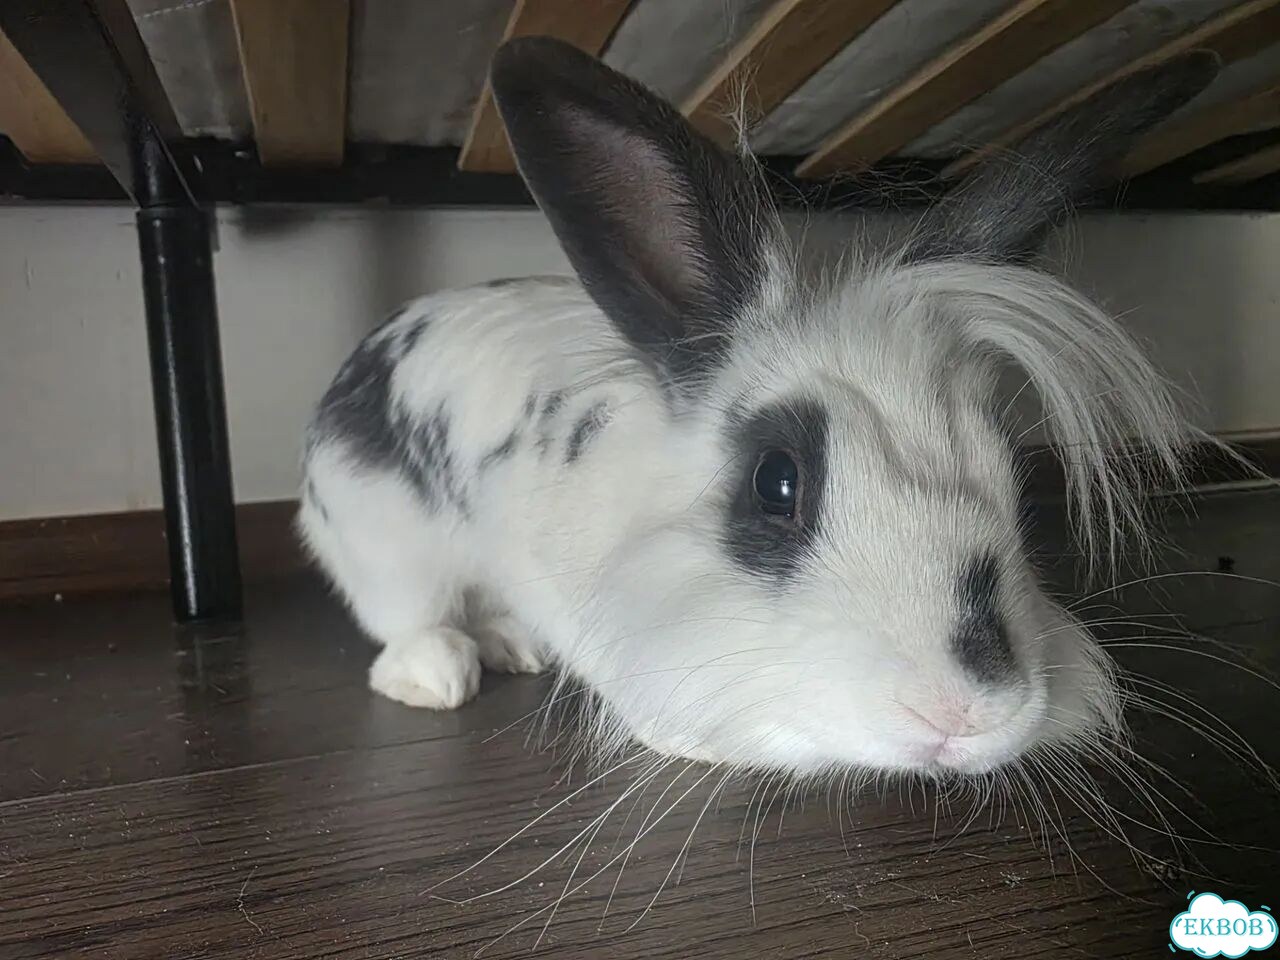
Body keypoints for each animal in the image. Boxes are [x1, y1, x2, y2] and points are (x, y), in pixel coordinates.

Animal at [299, 36, 1220, 776]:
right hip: (386, 547)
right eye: (778, 483)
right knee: (408, 620)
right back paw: (442, 671)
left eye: (1022, 490)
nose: (963, 715)